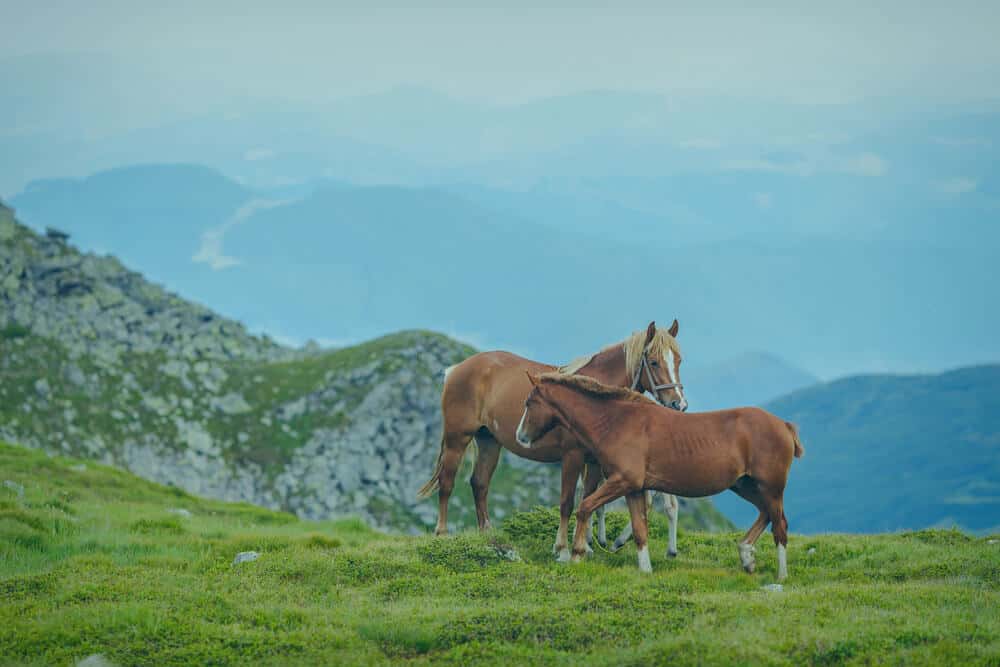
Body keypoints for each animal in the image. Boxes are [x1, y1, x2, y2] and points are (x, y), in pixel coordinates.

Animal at [417, 320, 688, 561]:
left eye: (678, 360)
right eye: (654, 362)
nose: (679, 404)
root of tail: (456, 369)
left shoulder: (593, 462)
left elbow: (588, 499)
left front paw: (584, 546)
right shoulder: (572, 456)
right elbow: (567, 502)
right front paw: (563, 549)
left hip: (489, 442)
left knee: (479, 484)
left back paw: (487, 534)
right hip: (457, 439)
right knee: (447, 483)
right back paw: (441, 533)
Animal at [516, 372, 803, 579]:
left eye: (530, 403)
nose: (521, 437)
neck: (617, 421)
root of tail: (784, 425)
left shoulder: (623, 481)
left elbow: (585, 507)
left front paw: (576, 555)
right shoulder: (633, 488)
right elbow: (640, 529)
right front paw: (645, 570)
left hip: (771, 487)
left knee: (780, 525)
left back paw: (781, 575)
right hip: (744, 485)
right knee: (766, 513)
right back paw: (746, 556)